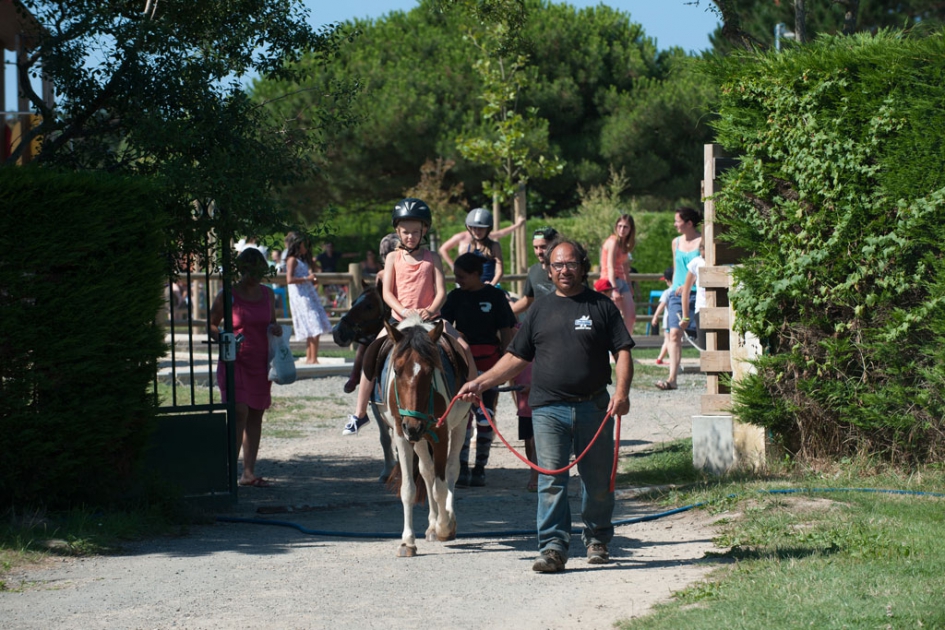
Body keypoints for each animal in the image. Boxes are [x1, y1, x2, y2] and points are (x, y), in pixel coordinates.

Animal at [378, 316, 470, 556]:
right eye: (397, 370)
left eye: (430, 371)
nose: (413, 425)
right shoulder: (402, 435)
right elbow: (409, 489)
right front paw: (408, 541)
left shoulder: (441, 432)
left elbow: (441, 486)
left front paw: (444, 527)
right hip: (418, 438)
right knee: (427, 472)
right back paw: (431, 524)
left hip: (460, 424)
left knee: (451, 470)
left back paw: (446, 520)